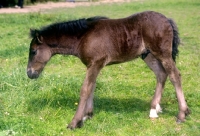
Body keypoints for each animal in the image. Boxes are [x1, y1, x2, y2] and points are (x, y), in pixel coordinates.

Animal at [27, 10, 191, 130]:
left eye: (34, 51)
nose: (29, 73)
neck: (82, 37)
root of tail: (167, 19)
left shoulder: (95, 63)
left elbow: (85, 89)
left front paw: (75, 122)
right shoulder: (93, 65)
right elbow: (92, 87)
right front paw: (87, 115)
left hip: (163, 53)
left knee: (175, 75)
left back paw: (182, 114)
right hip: (148, 55)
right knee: (161, 74)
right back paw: (154, 110)